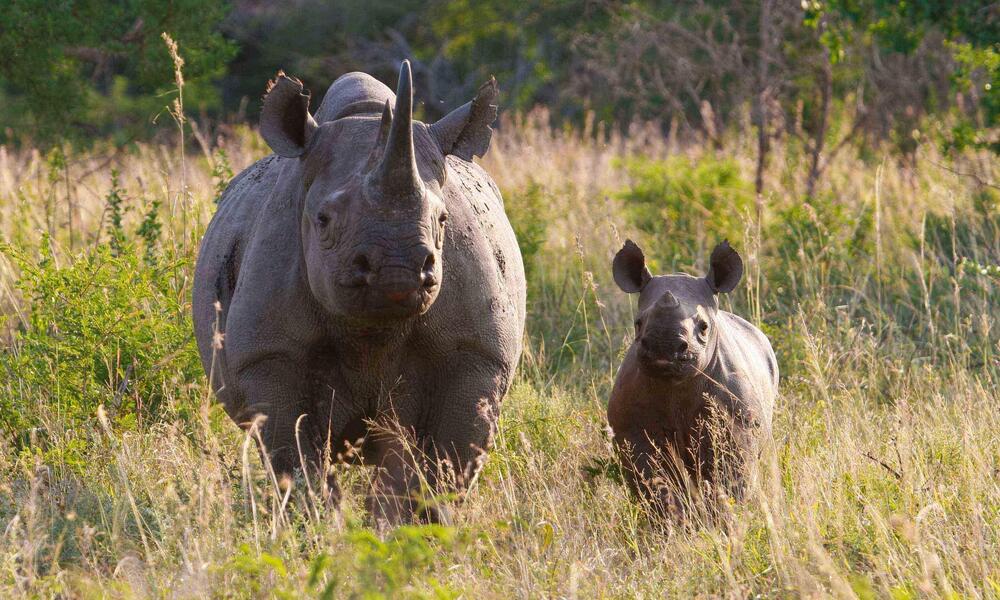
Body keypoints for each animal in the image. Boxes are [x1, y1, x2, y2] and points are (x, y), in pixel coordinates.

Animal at [190, 62, 528, 524]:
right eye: (323, 220)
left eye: (443, 220)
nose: (397, 270)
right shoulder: (269, 355)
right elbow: (295, 460)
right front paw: (322, 528)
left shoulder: (475, 352)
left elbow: (445, 465)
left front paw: (410, 528)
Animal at [604, 239, 776, 516]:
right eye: (638, 323)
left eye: (703, 327)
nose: (663, 346)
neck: (676, 385)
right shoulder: (633, 431)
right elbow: (654, 484)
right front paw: (671, 522)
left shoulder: (735, 427)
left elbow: (728, 482)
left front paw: (722, 520)